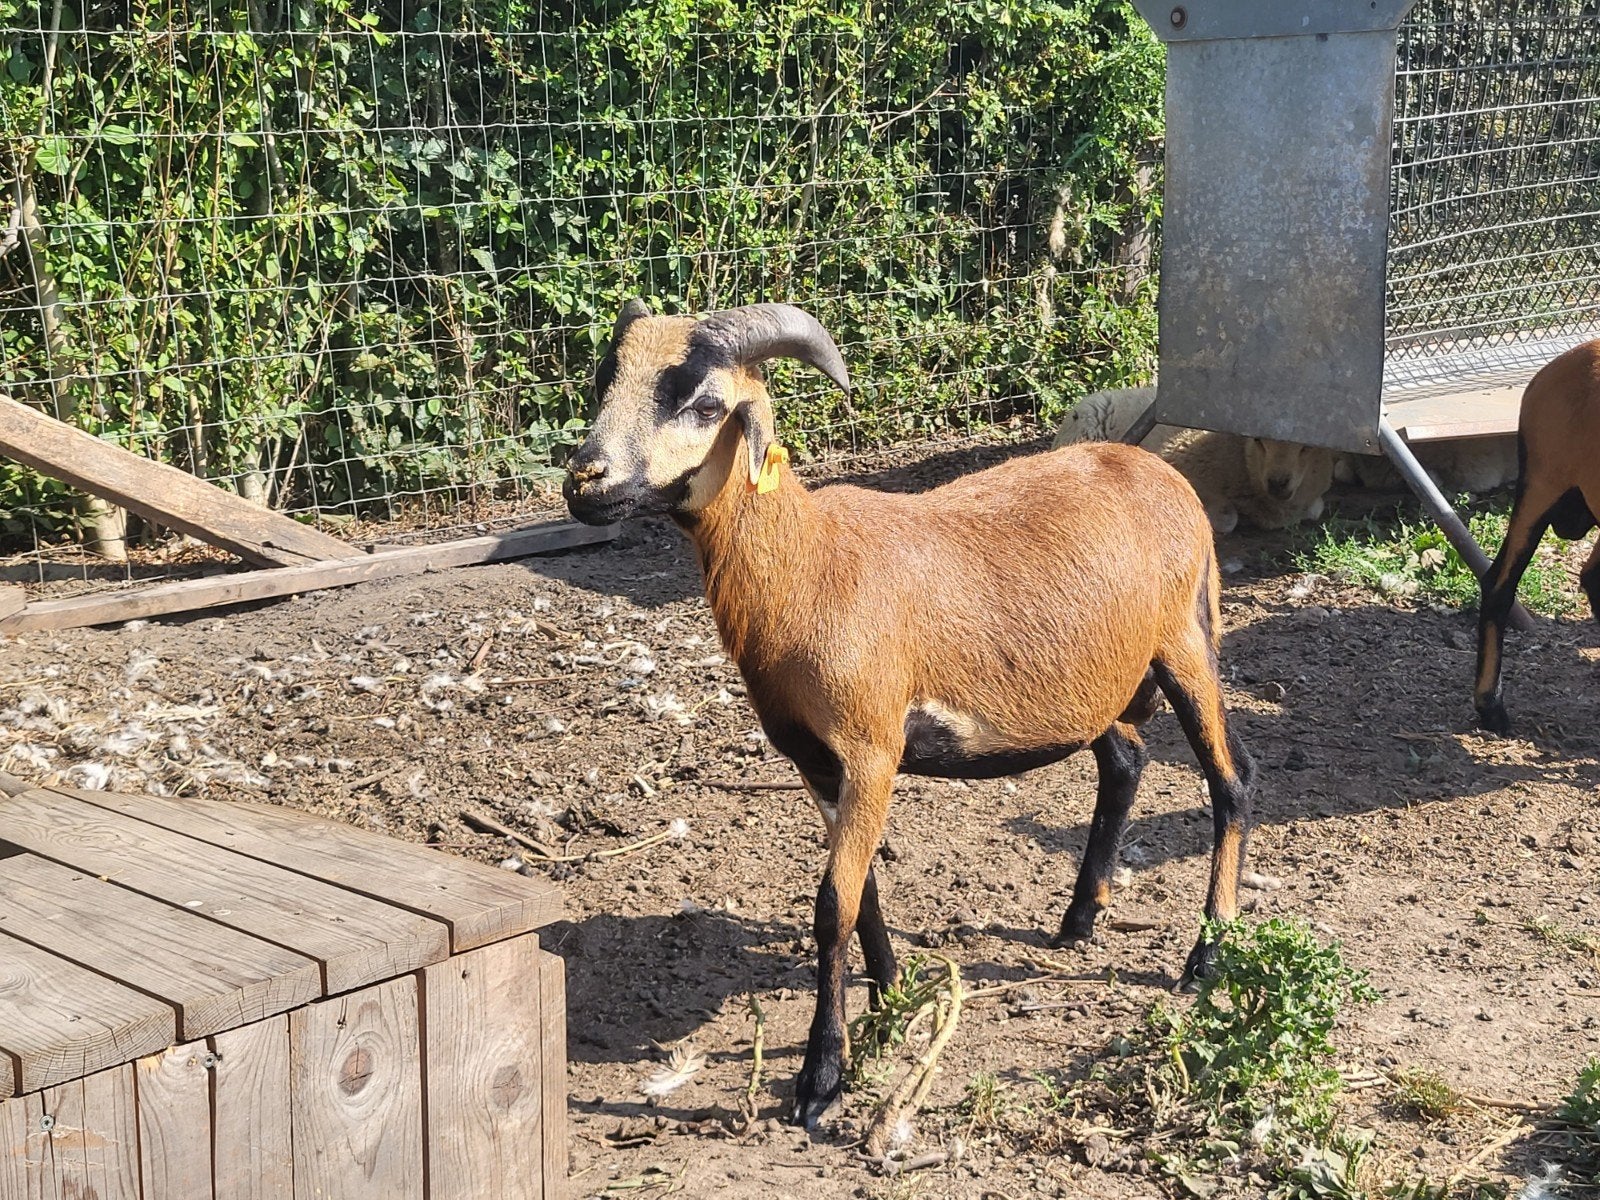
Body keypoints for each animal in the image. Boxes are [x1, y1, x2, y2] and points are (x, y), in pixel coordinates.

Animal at [565, 302, 1258, 1128]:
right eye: (603, 383)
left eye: (704, 405)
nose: (584, 484)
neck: (810, 564)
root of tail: (1161, 471)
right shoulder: (817, 763)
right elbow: (862, 891)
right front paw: (889, 1000)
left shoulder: (872, 745)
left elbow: (832, 904)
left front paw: (821, 1081)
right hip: (1101, 681)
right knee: (1125, 763)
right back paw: (1077, 921)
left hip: (1185, 642)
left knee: (1231, 782)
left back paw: (1204, 957)